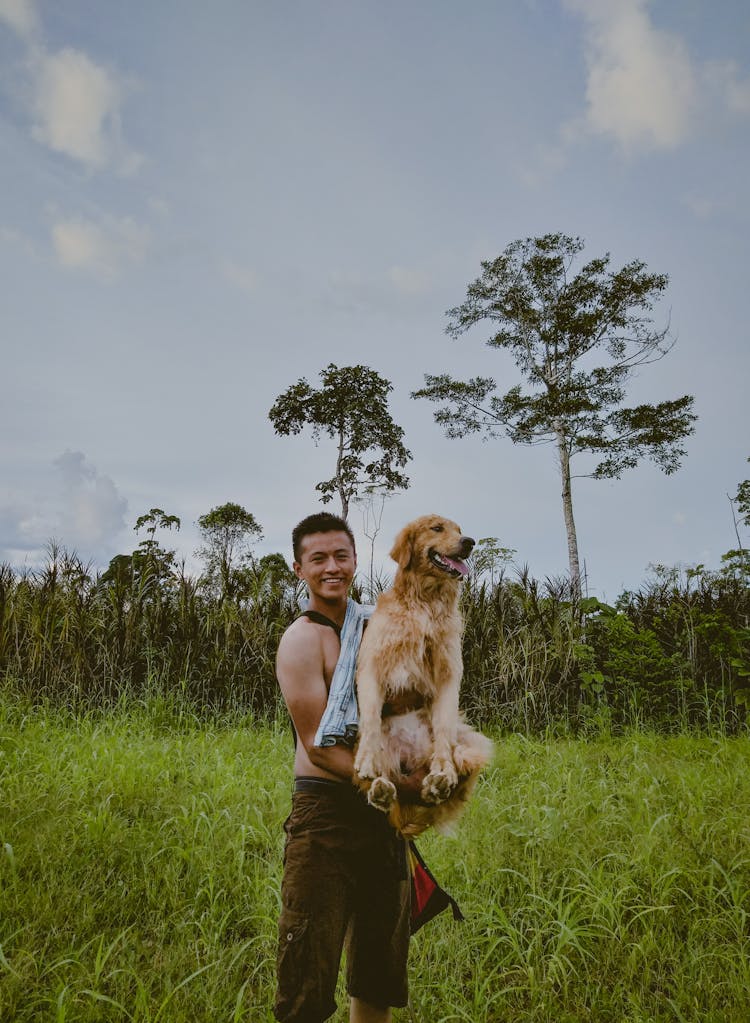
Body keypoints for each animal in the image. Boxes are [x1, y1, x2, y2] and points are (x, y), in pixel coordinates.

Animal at [354, 515, 495, 834]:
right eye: (437, 528)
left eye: (459, 530)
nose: (469, 542)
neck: (424, 602)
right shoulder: (372, 666)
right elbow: (370, 720)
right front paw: (367, 760)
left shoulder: (448, 673)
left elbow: (443, 727)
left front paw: (444, 768)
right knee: (386, 787)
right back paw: (381, 790)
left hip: (471, 743)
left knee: (452, 777)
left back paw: (436, 784)